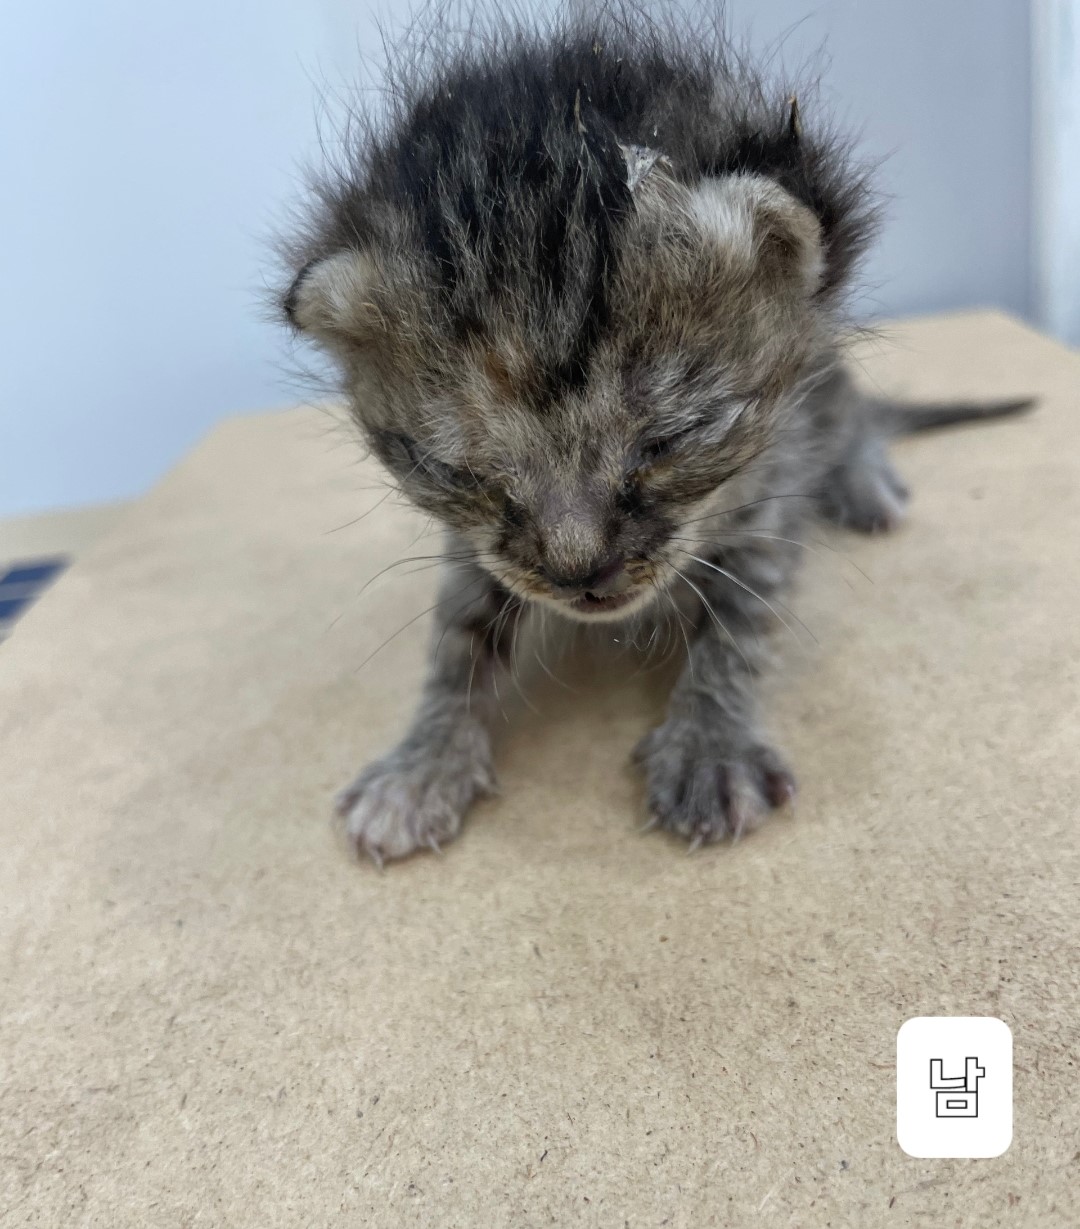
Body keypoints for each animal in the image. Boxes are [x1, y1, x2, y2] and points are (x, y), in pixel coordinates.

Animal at [278, 7, 1032, 865]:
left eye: (672, 439)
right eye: (461, 471)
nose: (580, 571)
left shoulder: (769, 482)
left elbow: (742, 618)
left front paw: (709, 743)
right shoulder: (481, 547)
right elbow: (458, 633)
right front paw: (423, 761)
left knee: (850, 406)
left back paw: (864, 481)